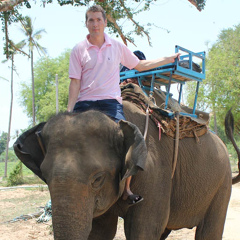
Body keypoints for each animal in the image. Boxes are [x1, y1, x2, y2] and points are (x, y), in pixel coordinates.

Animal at [13, 94, 238, 239]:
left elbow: (144, 229)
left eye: (97, 179)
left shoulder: (155, 171)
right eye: (44, 176)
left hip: (222, 184)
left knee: (209, 230)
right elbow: (100, 231)